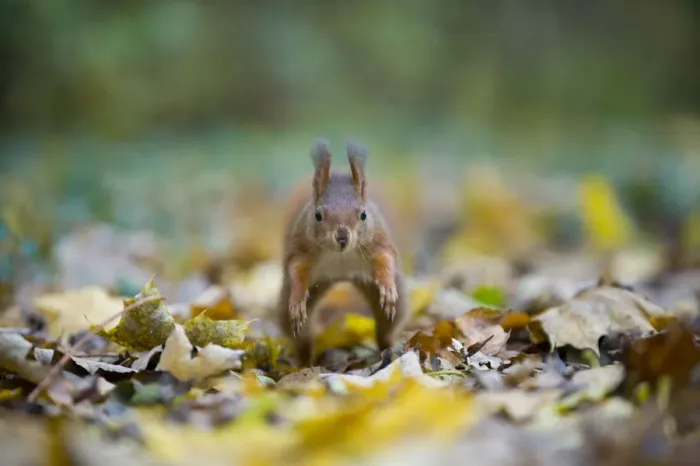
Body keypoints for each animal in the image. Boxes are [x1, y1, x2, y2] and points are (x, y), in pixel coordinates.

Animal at [277, 138, 409, 366]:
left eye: (363, 214)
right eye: (318, 215)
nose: (342, 237)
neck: (341, 257)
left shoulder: (378, 240)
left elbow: (386, 258)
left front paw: (387, 287)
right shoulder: (301, 247)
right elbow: (295, 268)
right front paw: (297, 299)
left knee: (386, 327)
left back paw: (387, 353)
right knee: (301, 336)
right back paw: (304, 363)